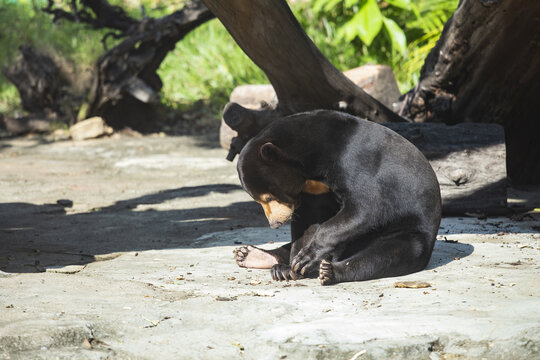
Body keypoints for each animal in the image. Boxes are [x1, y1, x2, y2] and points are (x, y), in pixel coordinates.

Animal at [234, 109, 440, 284]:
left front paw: (303, 261)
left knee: (387, 255)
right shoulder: (314, 188)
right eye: (259, 200)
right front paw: (293, 267)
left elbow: (366, 208)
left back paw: (329, 271)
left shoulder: (355, 159)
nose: (274, 223)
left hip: (409, 229)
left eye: (268, 197)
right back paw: (253, 256)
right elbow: (308, 220)